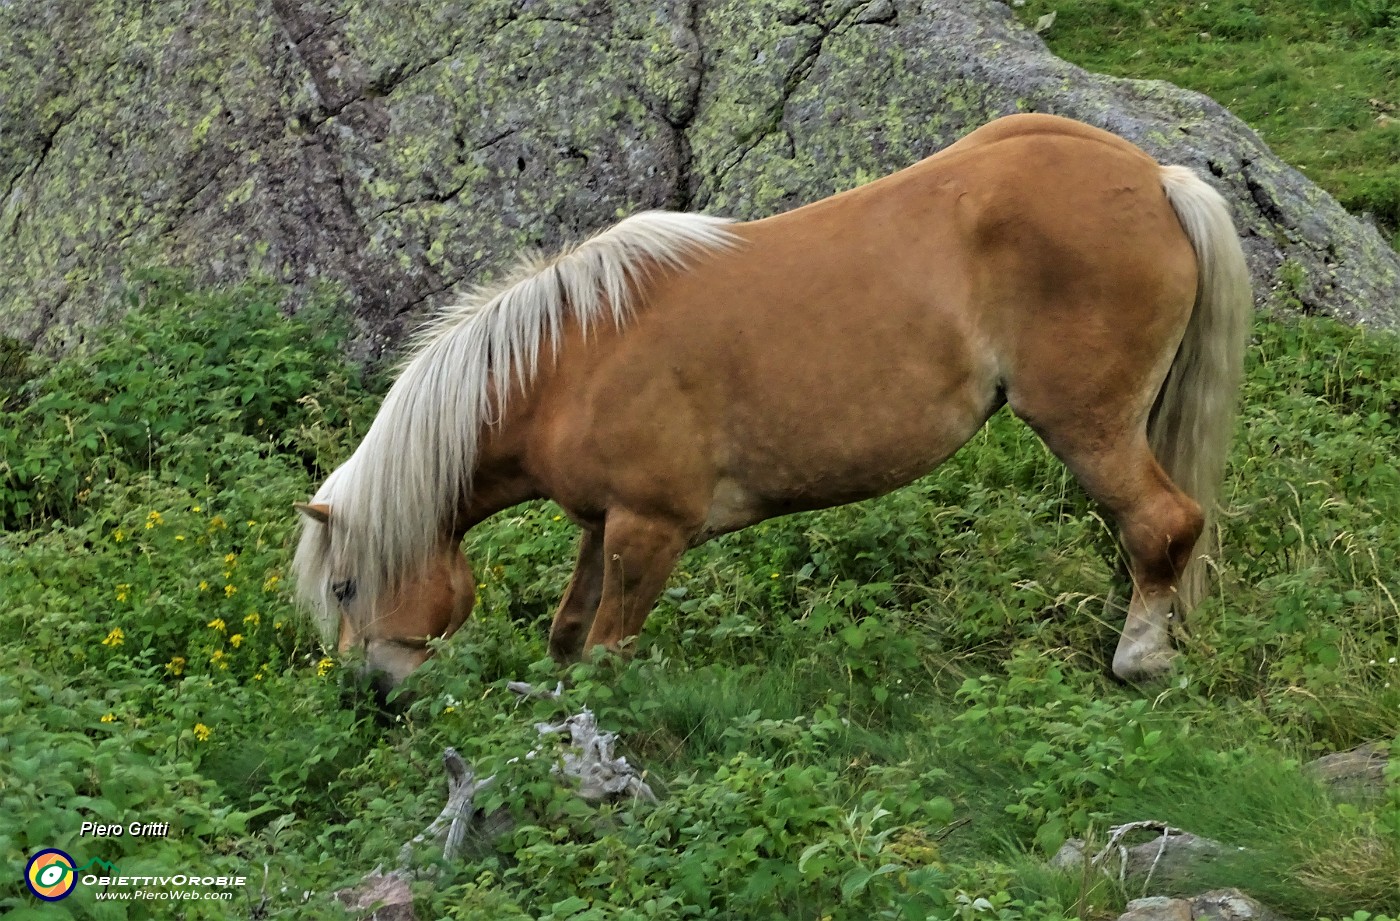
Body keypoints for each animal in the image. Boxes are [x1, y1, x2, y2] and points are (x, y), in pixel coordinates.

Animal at [289, 112, 1254, 688]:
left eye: (344, 584)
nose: (369, 690)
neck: (570, 362)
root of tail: (1155, 176)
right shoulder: (606, 524)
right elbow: (568, 638)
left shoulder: (650, 530)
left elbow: (606, 654)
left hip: (1086, 424)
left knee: (1162, 523)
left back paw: (1138, 659)